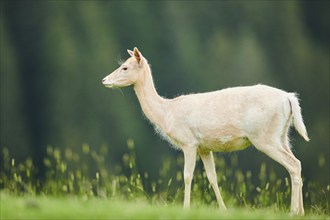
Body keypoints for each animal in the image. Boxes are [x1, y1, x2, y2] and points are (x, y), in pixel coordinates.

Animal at [102, 47, 310, 215]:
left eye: (125, 67)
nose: (104, 80)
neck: (167, 113)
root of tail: (289, 98)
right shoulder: (205, 148)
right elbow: (212, 178)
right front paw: (223, 210)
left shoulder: (189, 142)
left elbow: (187, 176)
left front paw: (185, 208)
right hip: (282, 135)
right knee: (297, 163)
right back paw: (301, 211)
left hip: (265, 136)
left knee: (293, 165)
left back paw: (293, 211)